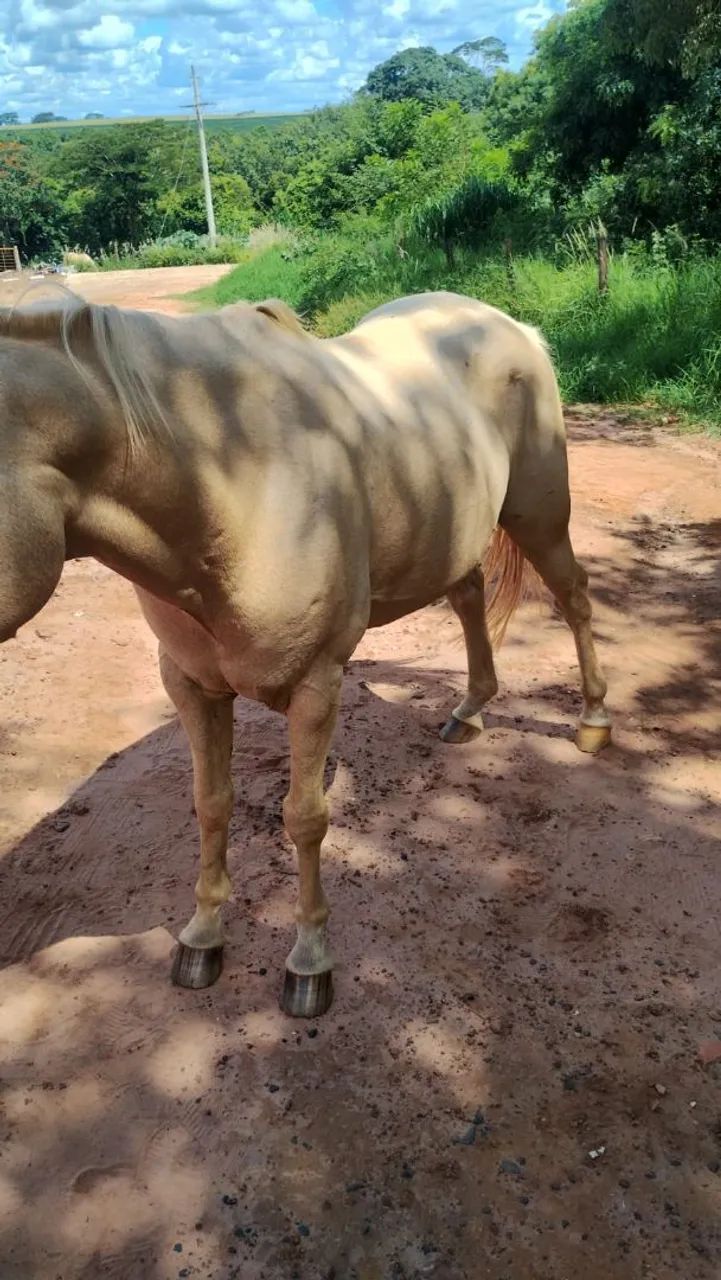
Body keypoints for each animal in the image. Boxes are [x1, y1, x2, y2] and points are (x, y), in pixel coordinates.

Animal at [0, 289, 610, 1017]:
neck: (229, 482)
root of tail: (510, 325)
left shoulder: (317, 685)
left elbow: (305, 817)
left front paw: (309, 962)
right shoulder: (190, 685)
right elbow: (212, 802)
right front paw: (202, 938)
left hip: (538, 514)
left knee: (574, 597)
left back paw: (593, 721)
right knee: (468, 595)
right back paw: (468, 711)